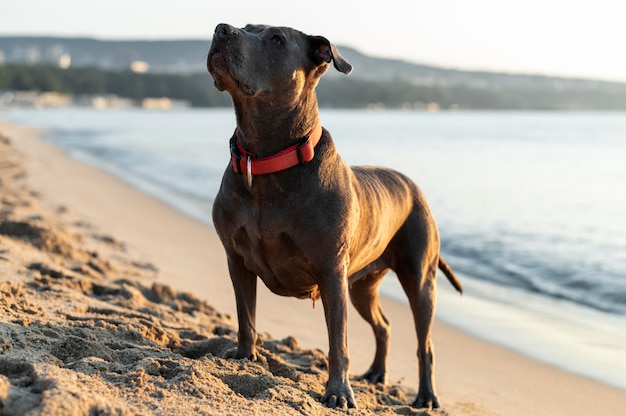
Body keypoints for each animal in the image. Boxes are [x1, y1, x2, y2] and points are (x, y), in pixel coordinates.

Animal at [207, 22, 460, 410]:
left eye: (276, 40)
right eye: (247, 28)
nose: (222, 29)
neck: (266, 160)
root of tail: (414, 188)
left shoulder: (331, 273)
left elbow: (338, 341)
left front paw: (339, 392)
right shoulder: (236, 259)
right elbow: (245, 315)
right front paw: (244, 356)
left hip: (419, 279)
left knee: (425, 344)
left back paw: (427, 396)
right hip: (363, 286)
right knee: (384, 325)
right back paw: (377, 374)